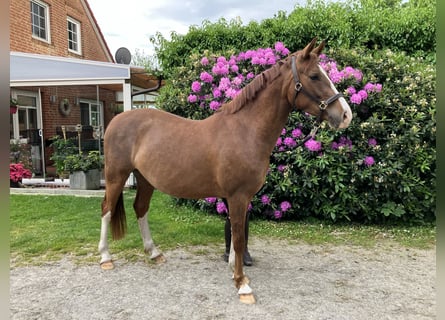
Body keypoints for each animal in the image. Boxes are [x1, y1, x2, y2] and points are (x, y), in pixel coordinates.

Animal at [99, 38, 352, 304]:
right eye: (314, 76)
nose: (346, 114)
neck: (245, 130)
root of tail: (117, 120)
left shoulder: (240, 197)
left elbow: (235, 231)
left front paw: (235, 271)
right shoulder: (237, 195)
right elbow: (239, 237)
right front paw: (242, 285)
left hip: (145, 179)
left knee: (140, 208)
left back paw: (154, 252)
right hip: (116, 176)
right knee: (107, 209)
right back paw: (105, 257)